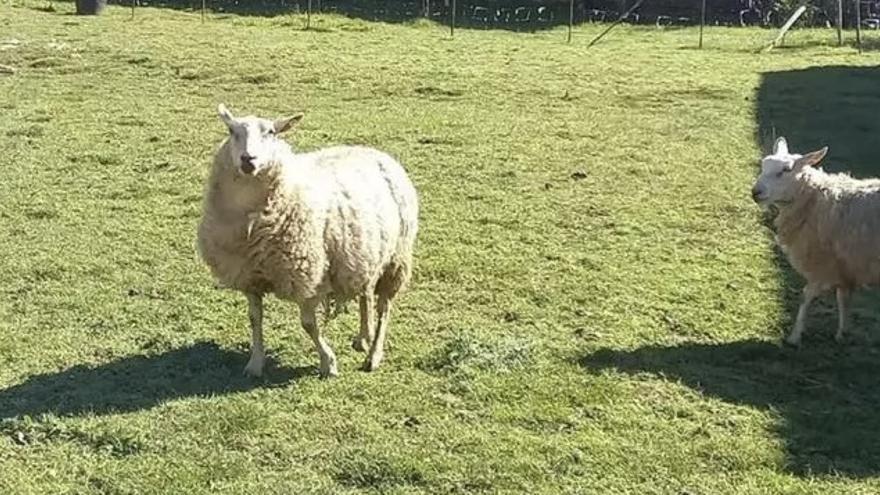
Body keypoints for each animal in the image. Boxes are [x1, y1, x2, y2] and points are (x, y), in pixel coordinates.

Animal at [197, 104, 419, 378]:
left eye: (271, 132)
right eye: (231, 130)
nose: (248, 159)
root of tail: (375, 152)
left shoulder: (306, 275)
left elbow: (308, 324)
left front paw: (328, 363)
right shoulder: (249, 275)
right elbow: (254, 319)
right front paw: (255, 363)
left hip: (396, 259)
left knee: (384, 307)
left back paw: (373, 355)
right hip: (364, 253)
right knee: (365, 293)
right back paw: (363, 338)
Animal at [752, 136, 880, 346]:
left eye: (786, 170)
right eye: (763, 166)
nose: (756, 192)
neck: (815, 199)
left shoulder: (823, 262)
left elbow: (807, 296)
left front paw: (795, 336)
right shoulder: (843, 265)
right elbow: (843, 298)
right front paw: (842, 333)